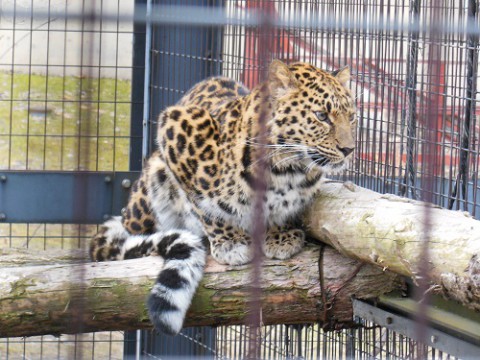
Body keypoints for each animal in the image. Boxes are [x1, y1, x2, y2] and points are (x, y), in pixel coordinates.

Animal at [91, 60, 356, 336]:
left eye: (352, 117)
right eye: (321, 116)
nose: (349, 150)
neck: (287, 172)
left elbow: (281, 211)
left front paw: (280, 236)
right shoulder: (175, 126)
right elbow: (205, 207)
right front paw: (231, 242)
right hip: (153, 179)